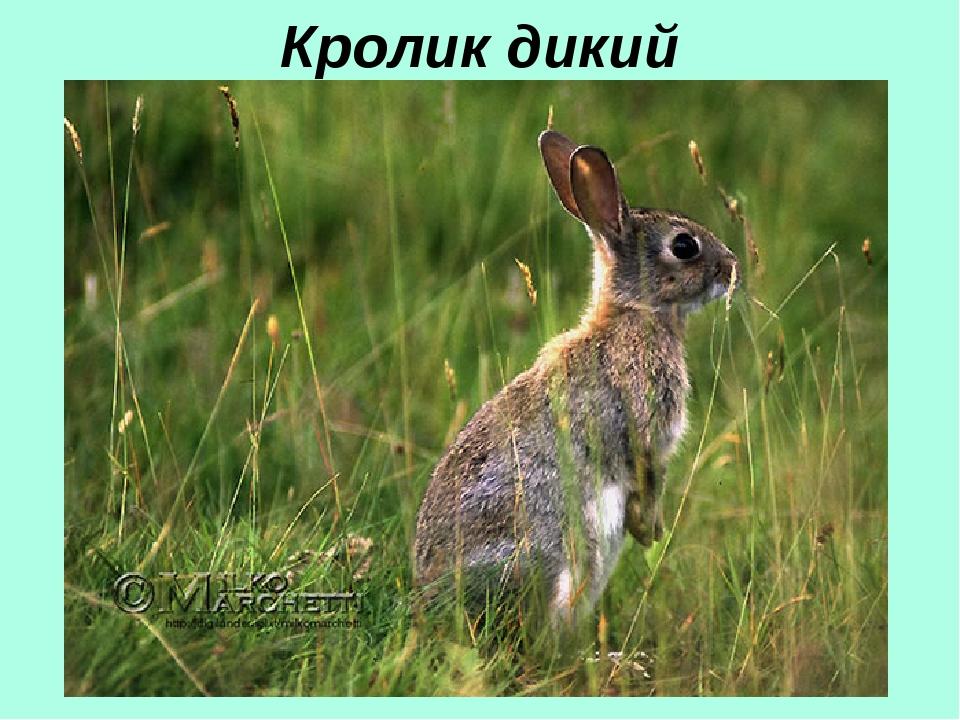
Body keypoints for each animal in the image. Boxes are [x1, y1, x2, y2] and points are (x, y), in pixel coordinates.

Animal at [414, 129, 739, 625]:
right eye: (684, 246)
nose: (731, 266)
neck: (635, 313)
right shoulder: (647, 426)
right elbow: (648, 475)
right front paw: (650, 530)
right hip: (562, 552)